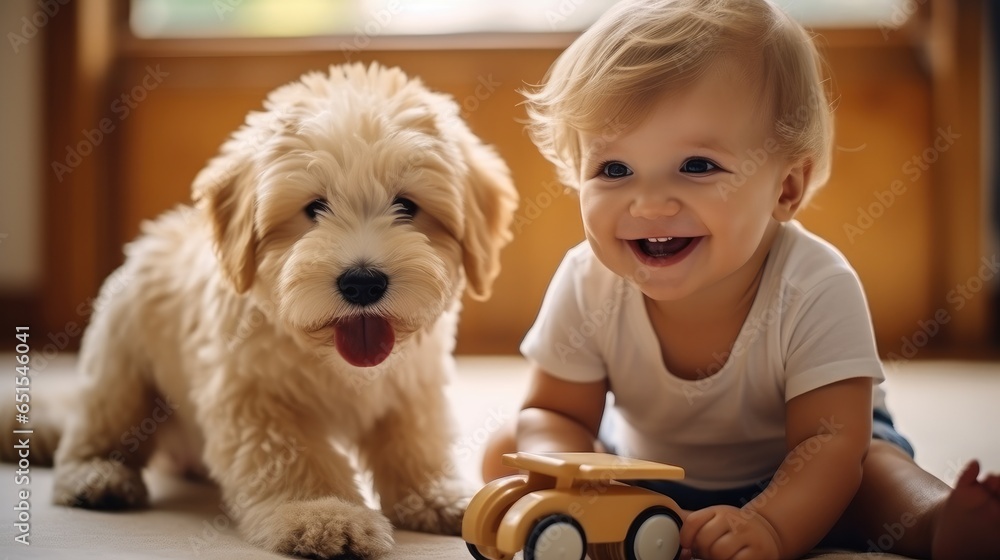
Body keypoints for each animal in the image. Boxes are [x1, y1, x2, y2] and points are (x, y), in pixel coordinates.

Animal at [46, 63, 516, 556]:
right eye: (314, 208)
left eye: (407, 206)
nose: (362, 282)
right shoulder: (254, 395)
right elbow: (293, 457)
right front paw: (324, 513)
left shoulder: (412, 389)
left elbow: (416, 444)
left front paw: (439, 496)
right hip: (120, 366)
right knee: (101, 427)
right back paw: (97, 475)